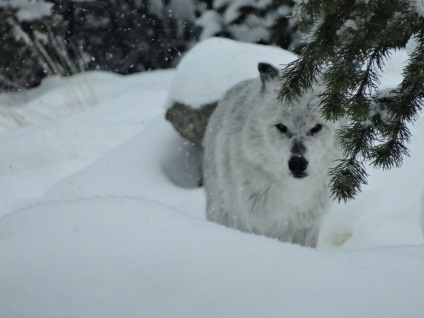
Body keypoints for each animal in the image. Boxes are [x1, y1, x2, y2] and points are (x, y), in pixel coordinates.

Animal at [203, 61, 344, 246]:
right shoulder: (255, 225)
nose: (297, 163)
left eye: (316, 128)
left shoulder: (306, 228)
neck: (293, 194)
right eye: (281, 127)